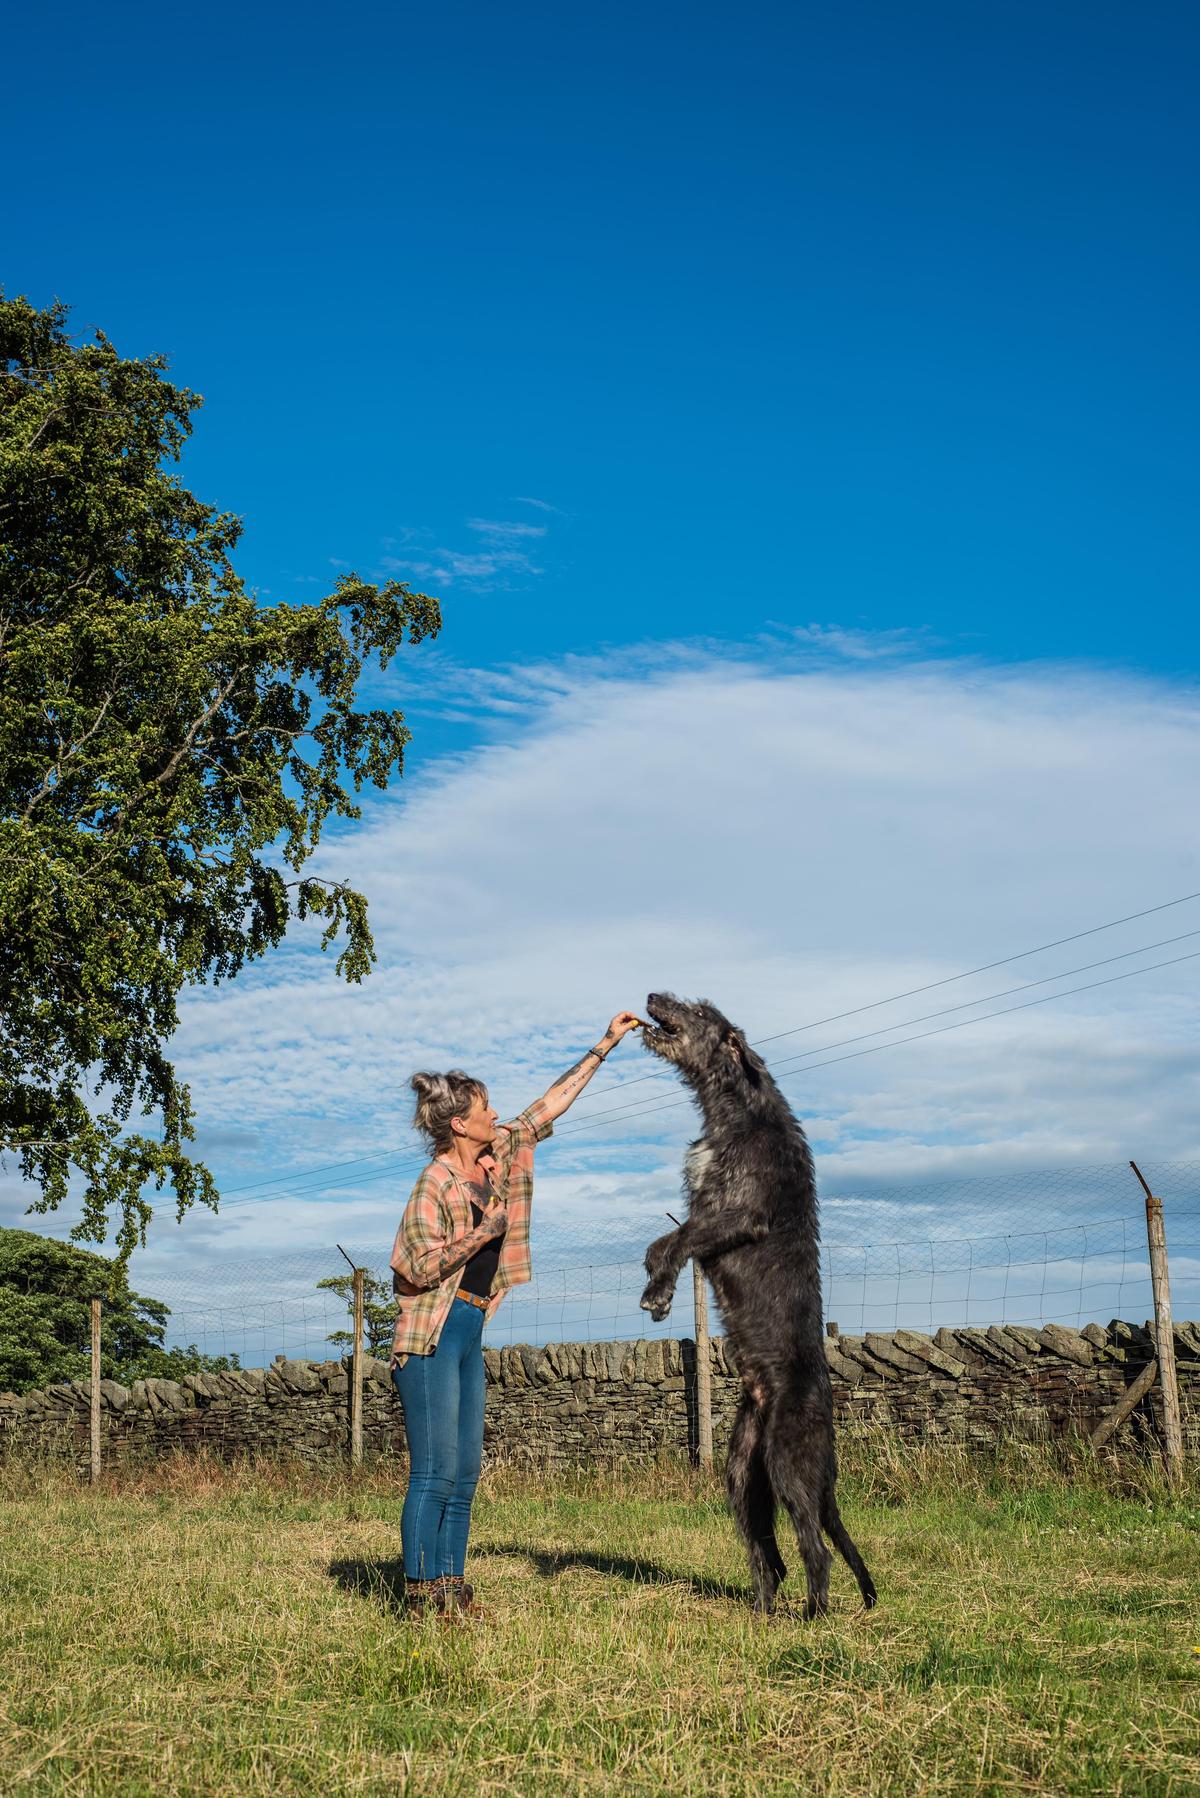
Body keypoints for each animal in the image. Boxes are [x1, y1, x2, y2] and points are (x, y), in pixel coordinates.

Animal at [636, 992, 881, 1625]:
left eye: (698, 1010)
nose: (652, 996)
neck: (738, 1110)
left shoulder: (737, 1213)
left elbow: (673, 1240)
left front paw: (658, 1291)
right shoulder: (706, 1209)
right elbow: (668, 1238)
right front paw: (657, 1285)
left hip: (789, 1464)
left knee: (814, 1548)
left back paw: (814, 1617)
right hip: (742, 1473)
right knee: (767, 1554)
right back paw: (760, 1613)